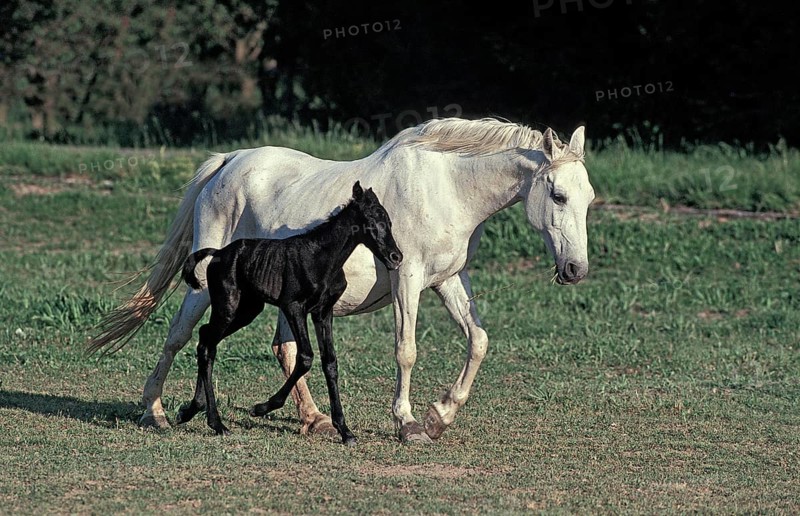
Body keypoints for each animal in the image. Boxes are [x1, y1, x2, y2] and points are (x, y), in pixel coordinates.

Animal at [177, 181, 402, 444]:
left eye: (388, 220)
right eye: (370, 219)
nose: (396, 257)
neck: (321, 258)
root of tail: (217, 253)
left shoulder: (323, 313)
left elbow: (330, 362)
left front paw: (345, 431)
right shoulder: (293, 307)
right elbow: (305, 357)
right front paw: (261, 407)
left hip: (248, 310)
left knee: (205, 338)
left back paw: (191, 410)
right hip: (227, 306)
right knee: (207, 345)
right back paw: (216, 423)